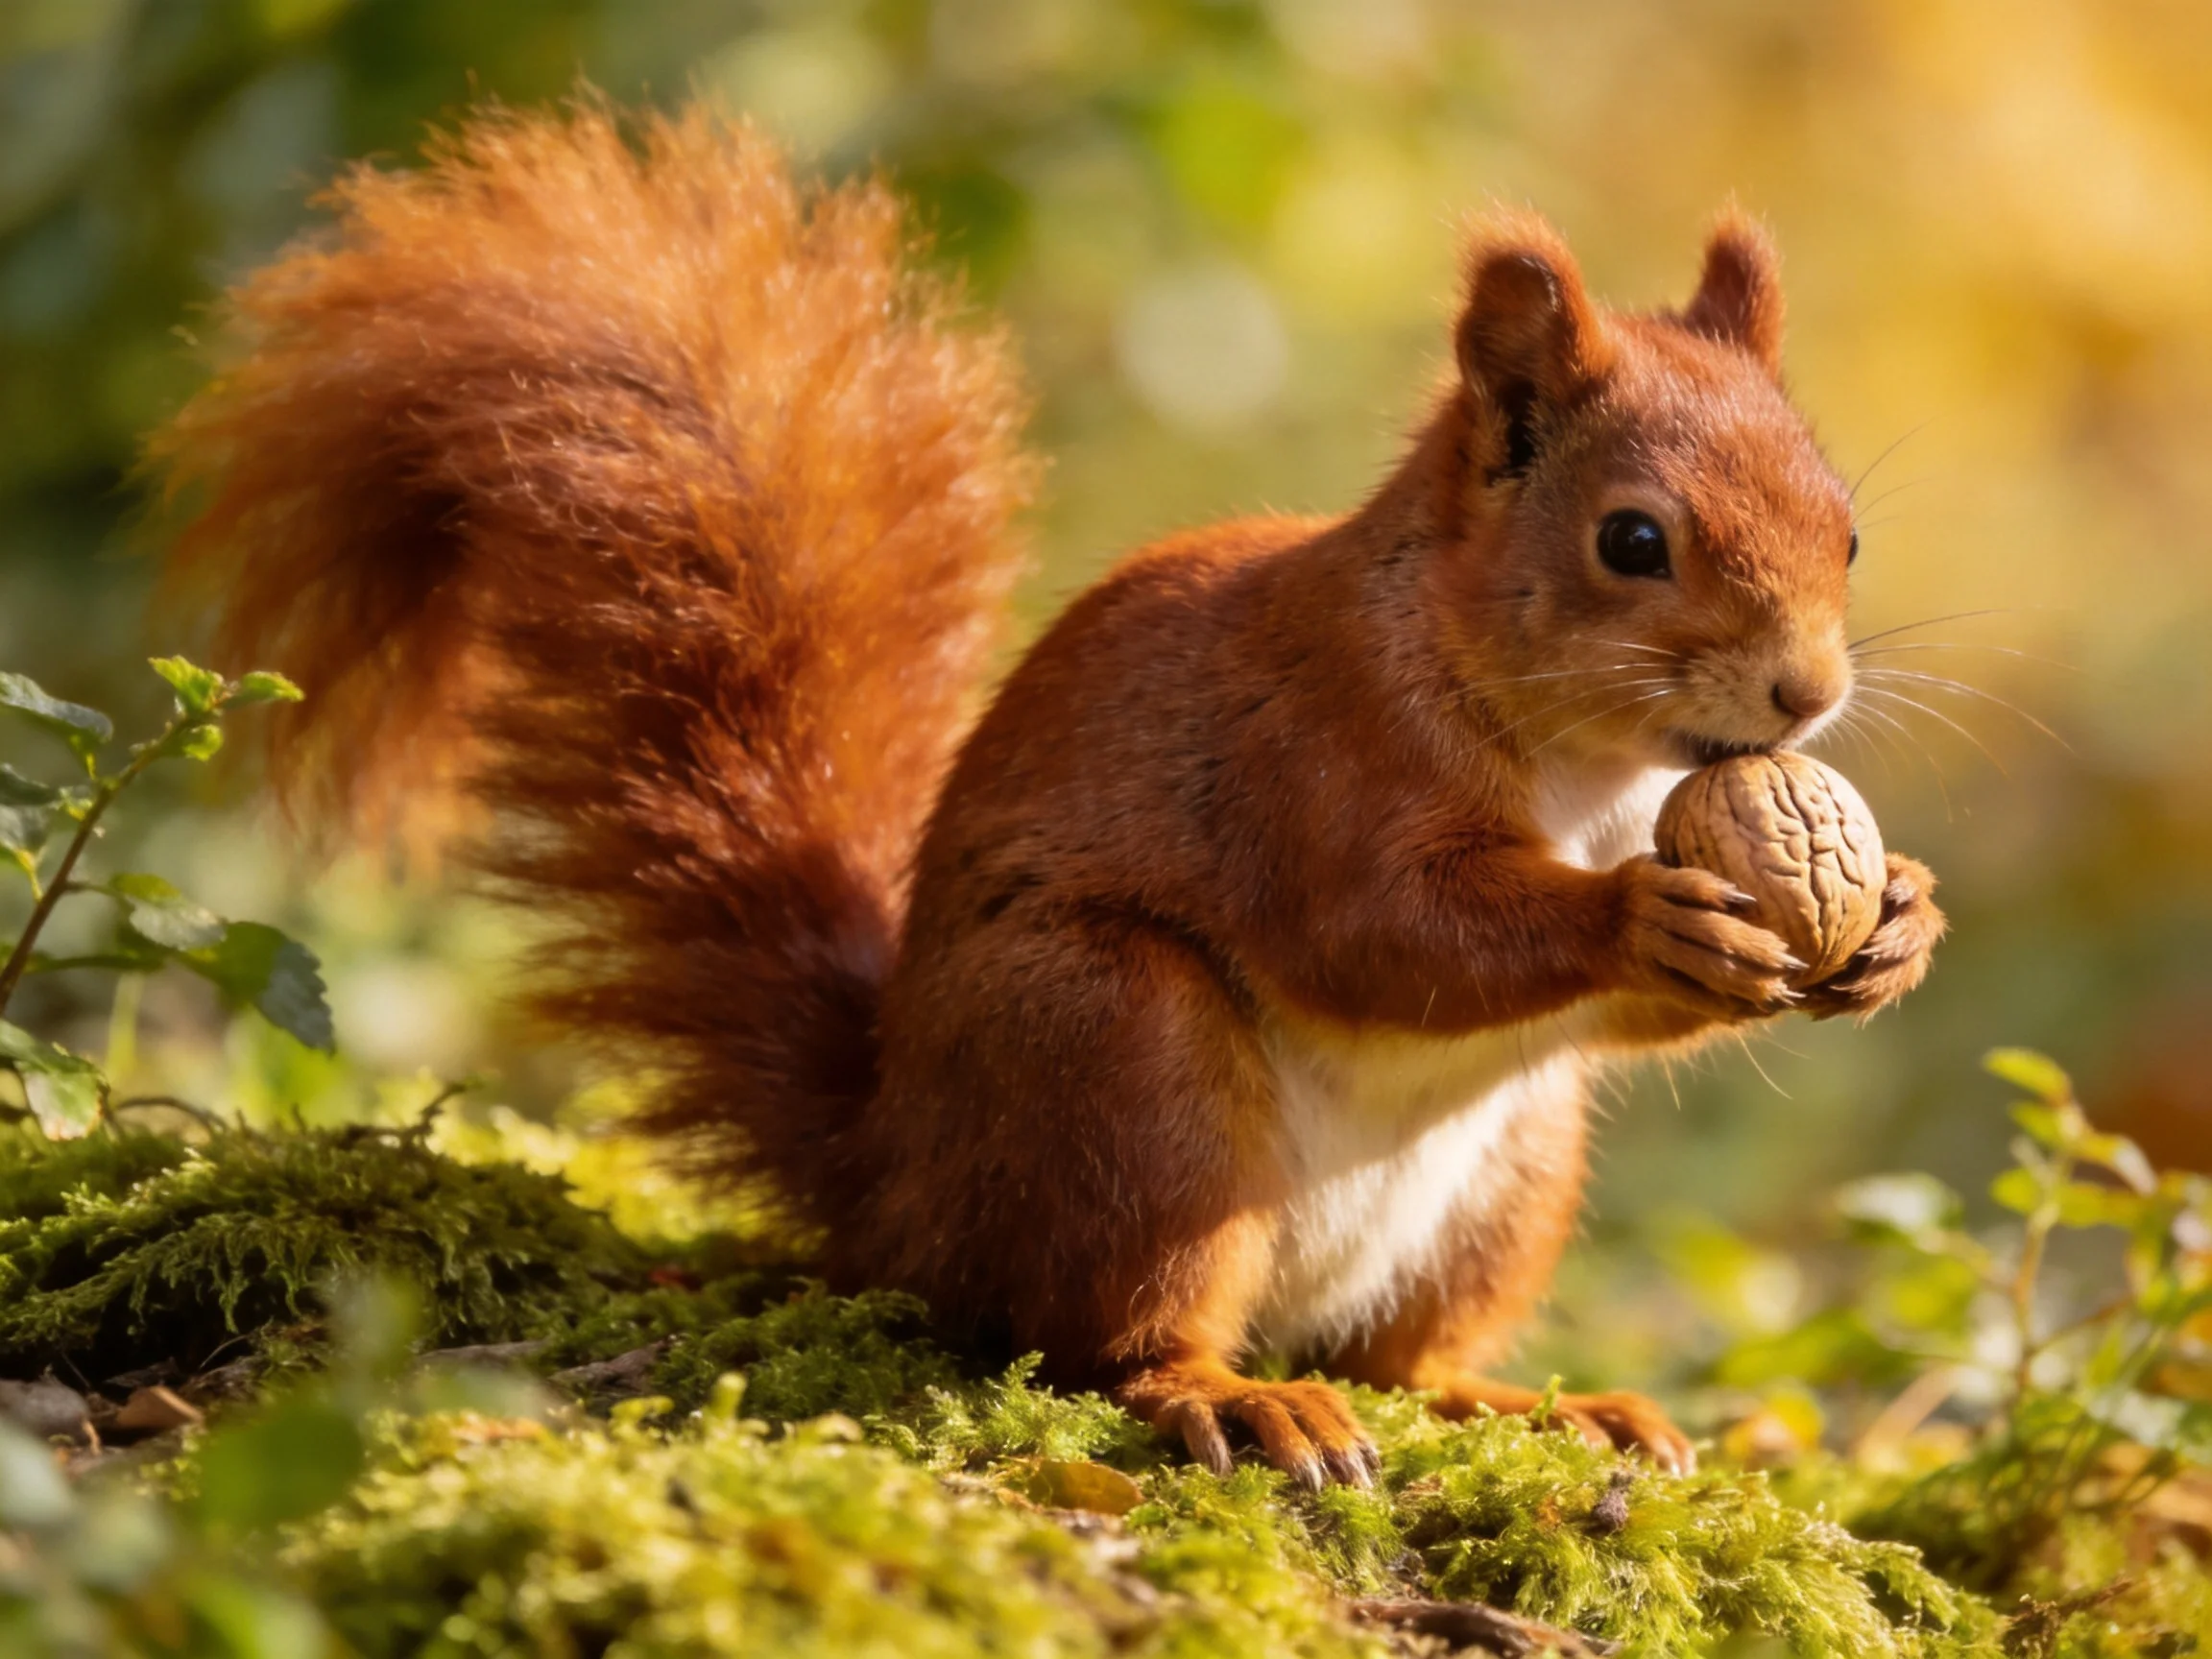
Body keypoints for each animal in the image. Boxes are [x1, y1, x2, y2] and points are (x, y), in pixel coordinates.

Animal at [148, 98, 1944, 1488]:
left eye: (1849, 531)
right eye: (1630, 540)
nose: (1805, 695)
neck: (1583, 764)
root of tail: (897, 1181)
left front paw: (1901, 922)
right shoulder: (1312, 756)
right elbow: (1386, 931)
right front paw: (1641, 918)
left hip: (1510, 1170)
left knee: (1404, 1361)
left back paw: (1534, 1402)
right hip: (1117, 1063)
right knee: (1109, 1336)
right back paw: (1235, 1395)